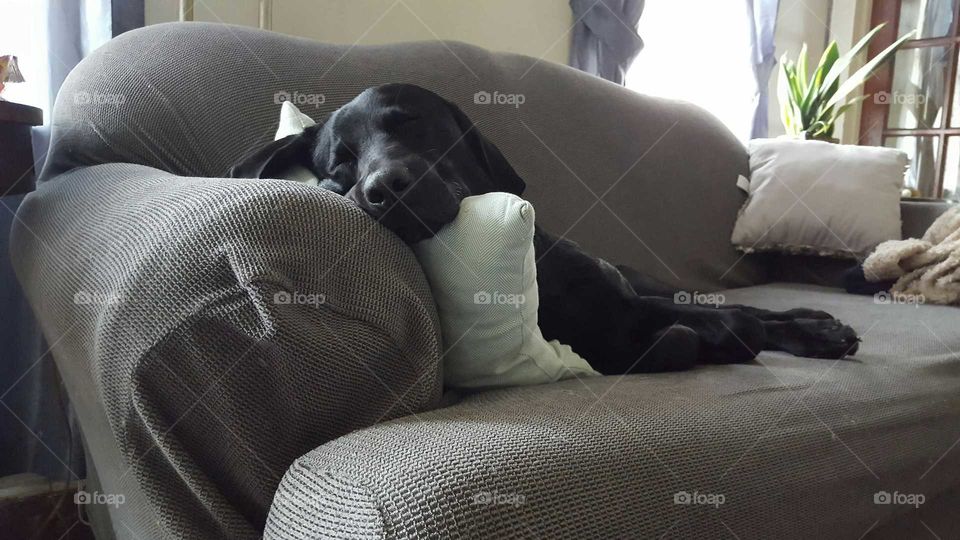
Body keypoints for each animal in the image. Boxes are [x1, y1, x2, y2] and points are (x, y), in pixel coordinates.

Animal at [229, 84, 860, 374]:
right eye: (340, 165)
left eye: (410, 123)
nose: (382, 189)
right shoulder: (615, 329)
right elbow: (691, 332)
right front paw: (722, 339)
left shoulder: (629, 299)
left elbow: (721, 314)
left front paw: (796, 328)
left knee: (732, 304)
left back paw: (813, 321)